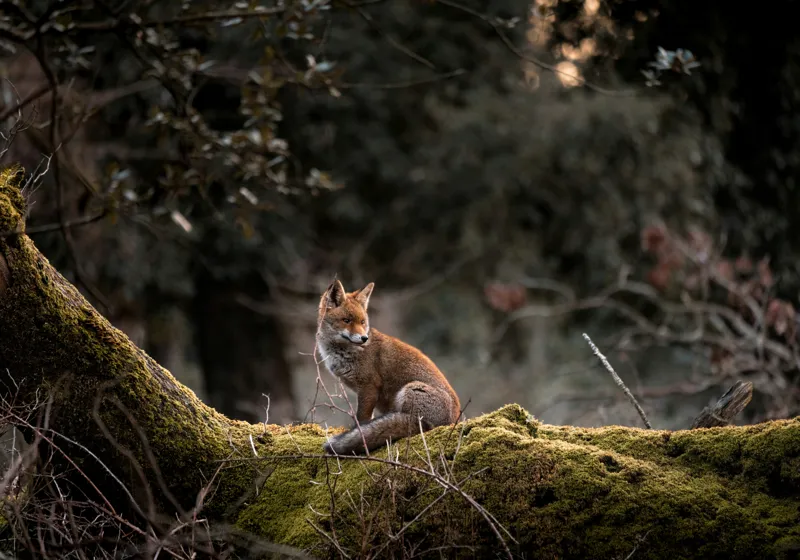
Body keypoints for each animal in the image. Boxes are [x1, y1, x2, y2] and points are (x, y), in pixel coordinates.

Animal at [316, 279, 461, 455]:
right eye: (347, 320)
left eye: (362, 322)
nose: (364, 338)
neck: (343, 352)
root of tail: (453, 420)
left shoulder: (369, 387)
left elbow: (362, 420)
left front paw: (358, 435)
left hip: (410, 390)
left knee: (417, 426)